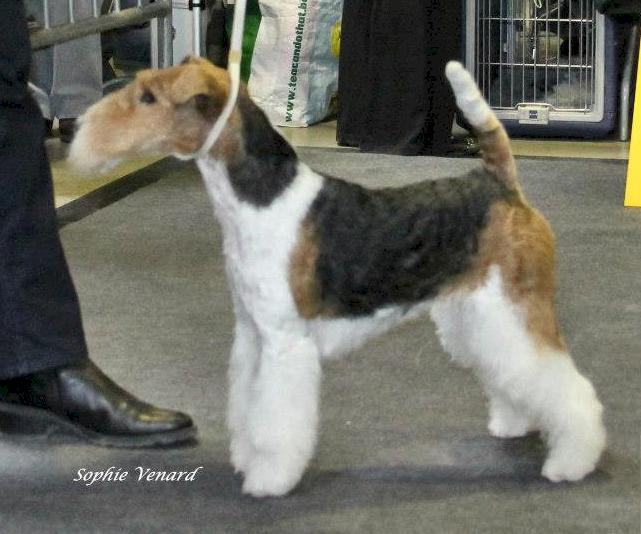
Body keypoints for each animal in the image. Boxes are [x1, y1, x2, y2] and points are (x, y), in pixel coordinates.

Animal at [70, 57, 604, 498]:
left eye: (148, 97)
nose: (78, 128)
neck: (258, 201)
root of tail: (500, 183)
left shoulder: (285, 342)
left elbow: (276, 420)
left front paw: (269, 477)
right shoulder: (253, 335)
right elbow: (248, 405)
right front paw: (248, 456)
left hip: (514, 305)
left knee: (564, 384)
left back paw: (572, 460)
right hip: (475, 312)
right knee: (512, 372)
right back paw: (515, 422)